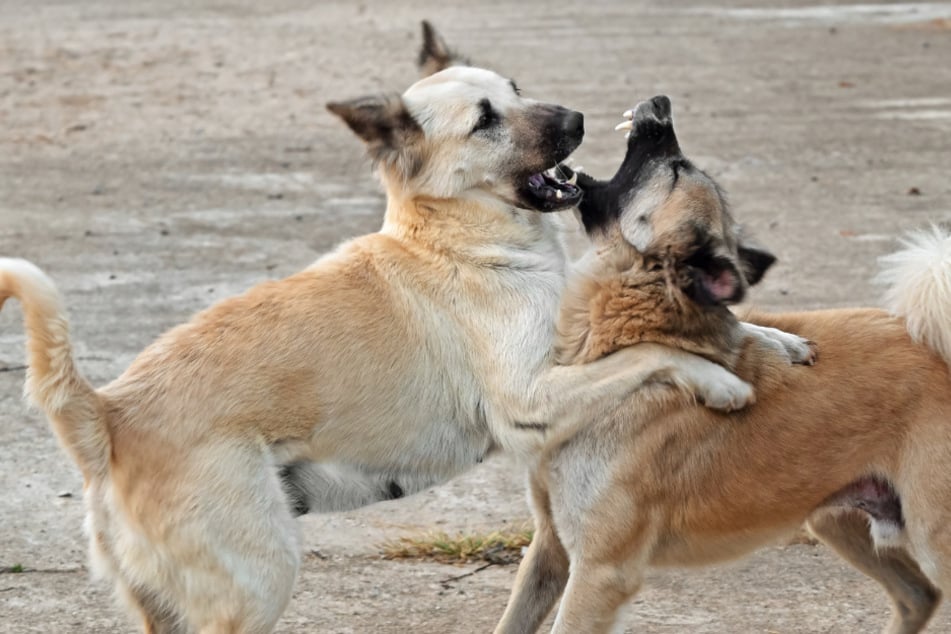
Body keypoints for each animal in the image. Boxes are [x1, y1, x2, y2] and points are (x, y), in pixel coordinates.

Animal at [0, 42, 772, 632]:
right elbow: (653, 350)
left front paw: (775, 345)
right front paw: (721, 381)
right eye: (485, 120)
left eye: (514, 89)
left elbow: (724, 329)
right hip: (258, 581)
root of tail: (107, 414)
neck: (461, 240)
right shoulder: (530, 401)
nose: (578, 118)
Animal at [494, 94, 951, 632]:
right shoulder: (551, 547)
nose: (661, 102)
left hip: (932, 534)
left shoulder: (600, 572)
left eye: (676, 169)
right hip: (835, 518)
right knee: (917, 594)